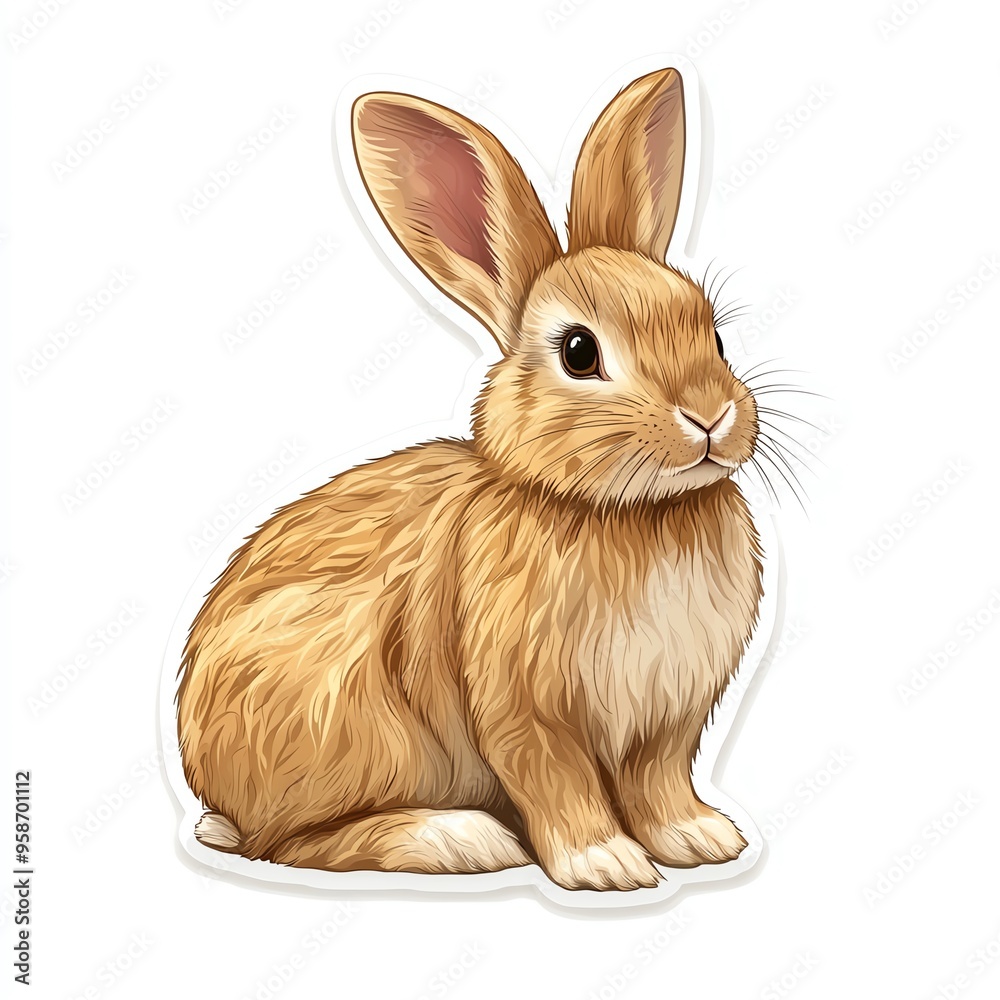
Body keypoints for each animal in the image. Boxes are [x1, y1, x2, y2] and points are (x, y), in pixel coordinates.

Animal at [176, 67, 765, 892]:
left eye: (713, 333)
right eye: (580, 351)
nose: (710, 417)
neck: (624, 512)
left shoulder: (667, 720)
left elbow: (658, 784)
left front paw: (701, 837)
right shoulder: (522, 708)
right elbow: (557, 781)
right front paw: (605, 863)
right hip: (347, 719)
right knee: (292, 841)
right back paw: (457, 838)